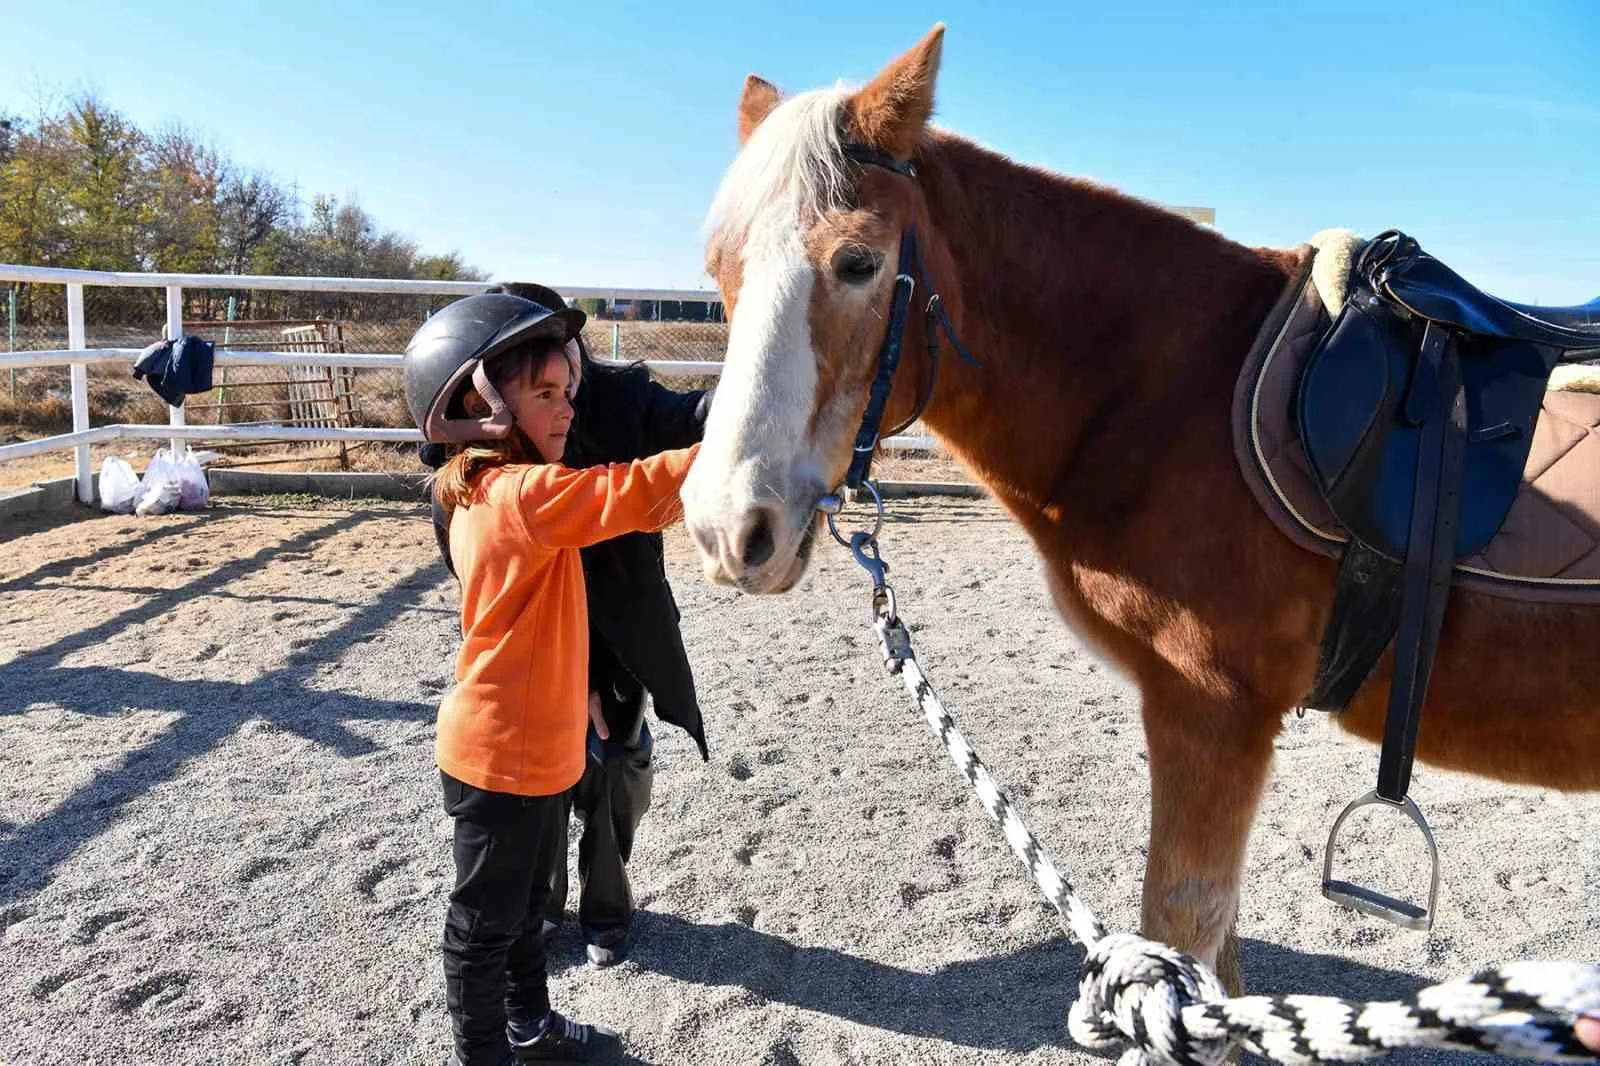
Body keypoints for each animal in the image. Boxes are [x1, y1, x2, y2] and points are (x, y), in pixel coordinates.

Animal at [678, 24, 1600, 985]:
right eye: (718, 268)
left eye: (858, 262)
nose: (726, 525)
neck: (1172, 391)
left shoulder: (1211, 712)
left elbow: (1181, 930)